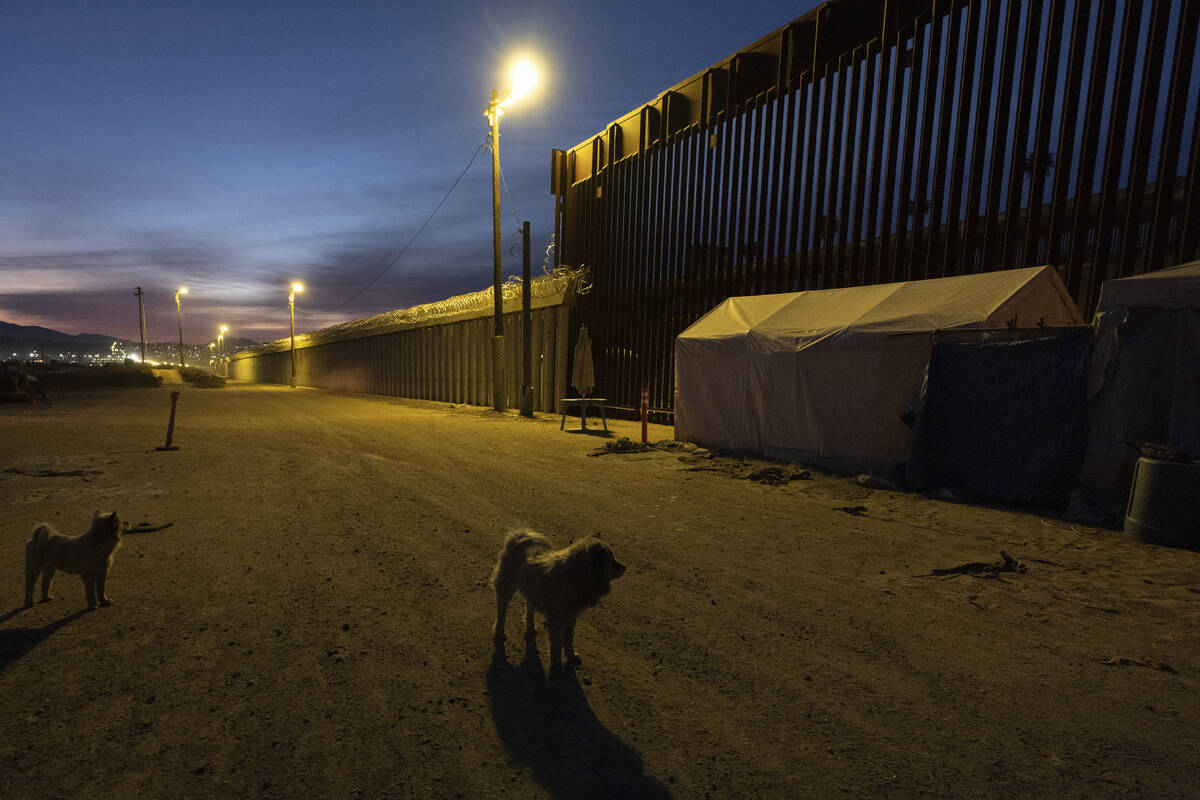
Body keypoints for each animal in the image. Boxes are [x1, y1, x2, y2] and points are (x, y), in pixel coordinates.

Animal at [489, 532, 628, 671]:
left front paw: (571, 657)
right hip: (506, 587)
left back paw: (531, 628)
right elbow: (556, 645)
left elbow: (568, 640)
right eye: (613, 561)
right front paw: (556, 664)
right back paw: (499, 633)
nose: (625, 567)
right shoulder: (557, 621)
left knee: (529, 608)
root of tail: (520, 536)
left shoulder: (571, 618)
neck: (577, 576)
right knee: (501, 611)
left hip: (531, 591)